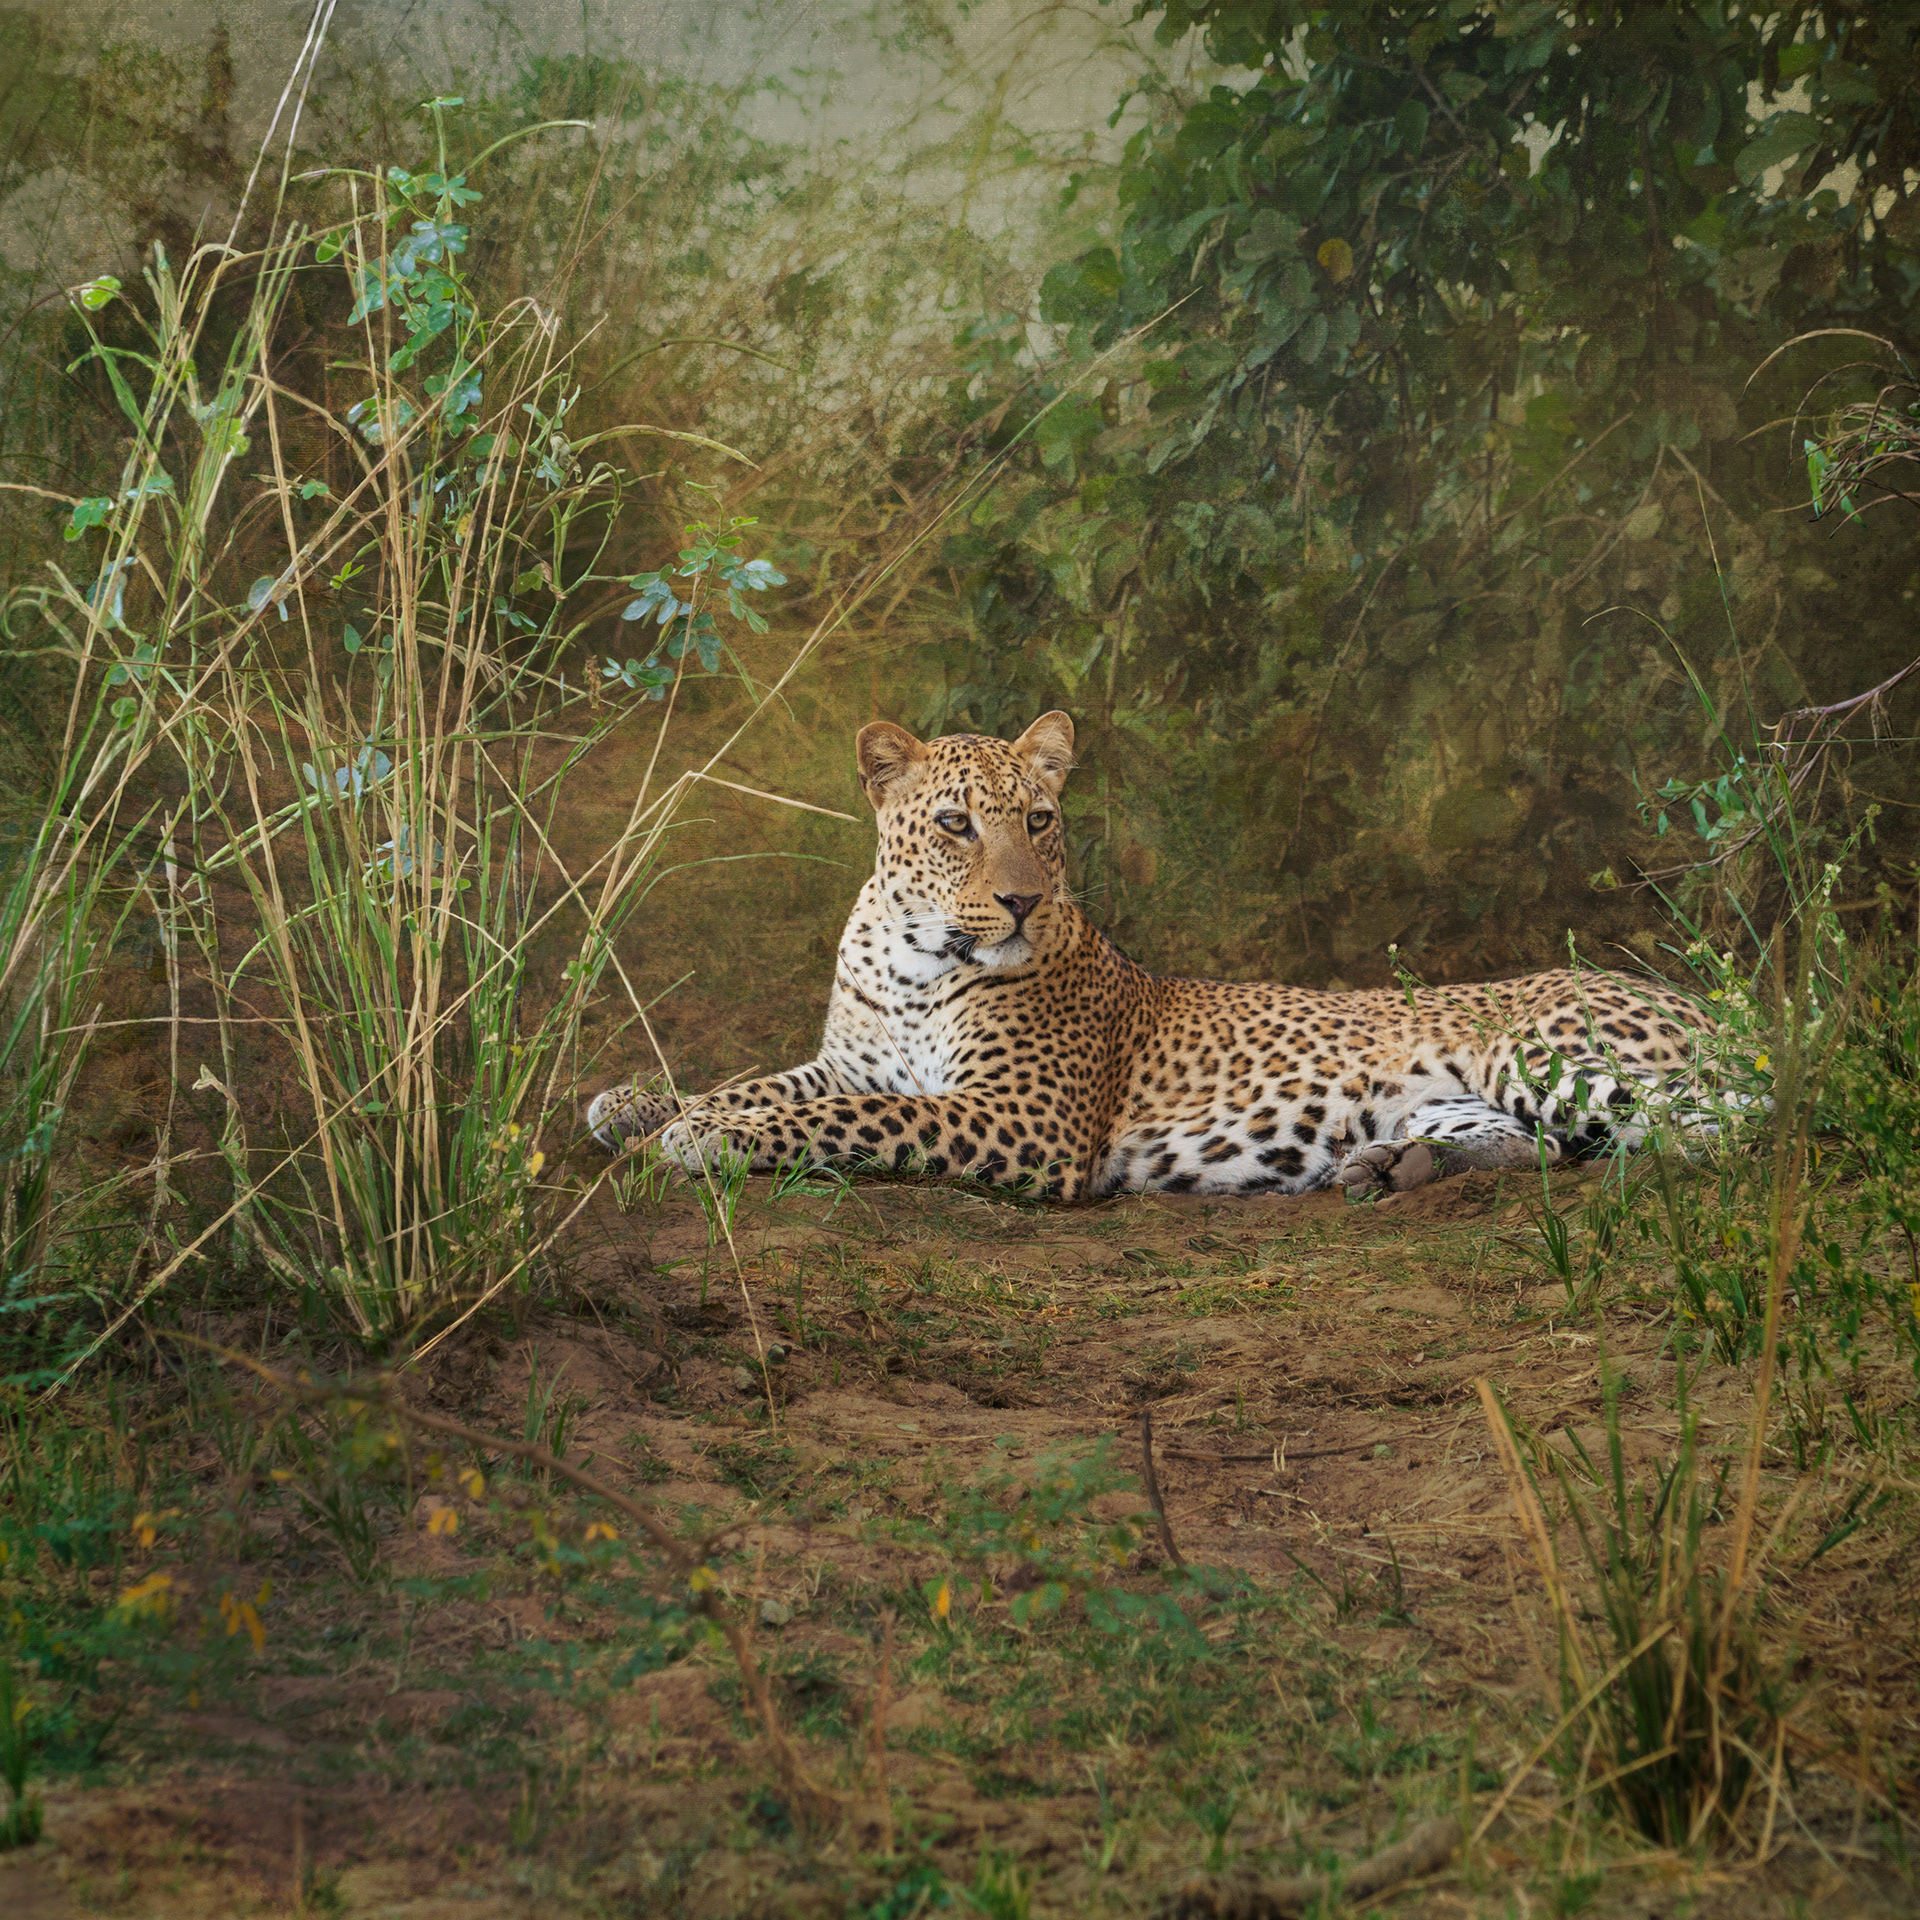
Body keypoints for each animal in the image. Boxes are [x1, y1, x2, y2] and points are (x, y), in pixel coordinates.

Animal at [587, 711, 1713, 1202]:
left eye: (1039, 820)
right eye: (954, 823)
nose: (1021, 900)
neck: (913, 955)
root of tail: (1686, 994)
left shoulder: (1022, 1120)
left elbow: (851, 1118)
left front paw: (704, 1139)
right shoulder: (849, 1058)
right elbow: (758, 1082)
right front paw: (644, 1103)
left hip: (1547, 1051)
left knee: (1721, 1123)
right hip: (1465, 1095)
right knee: (1533, 1146)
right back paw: (1390, 1165)